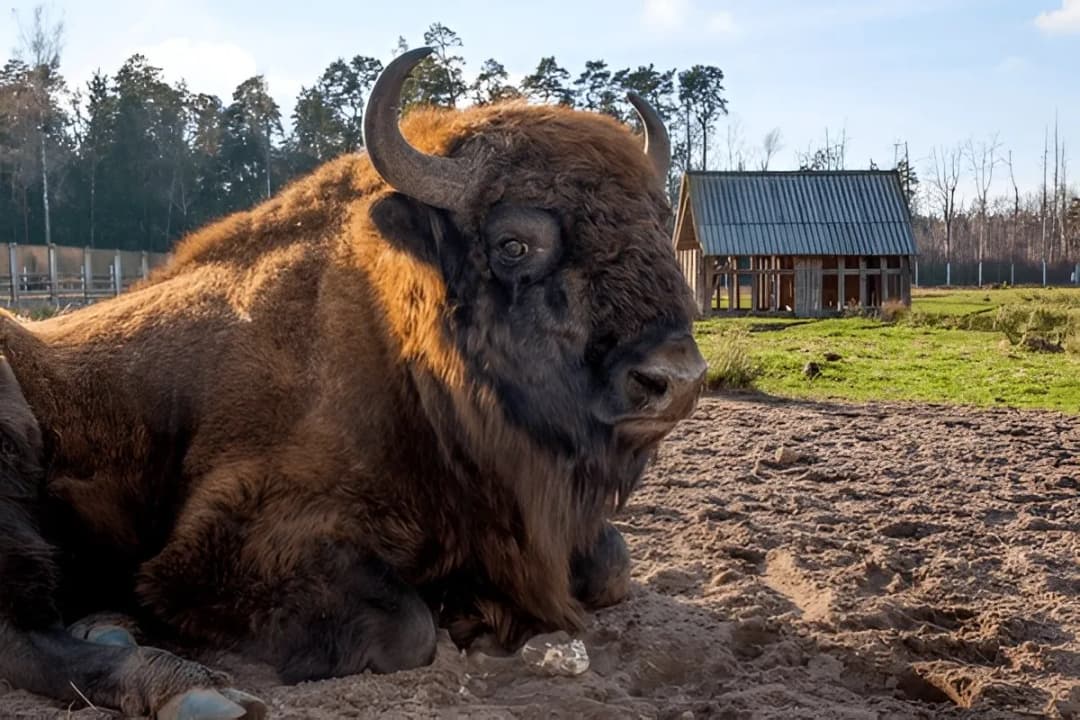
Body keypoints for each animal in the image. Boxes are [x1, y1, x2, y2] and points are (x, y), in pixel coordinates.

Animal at [0, 47, 706, 718]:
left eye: (656, 226)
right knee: (21, 633)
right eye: (514, 244)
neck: (392, 346)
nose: (676, 378)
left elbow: (611, 568)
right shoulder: (228, 539)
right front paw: (461, 611)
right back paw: (186, 687)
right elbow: (406, 629)